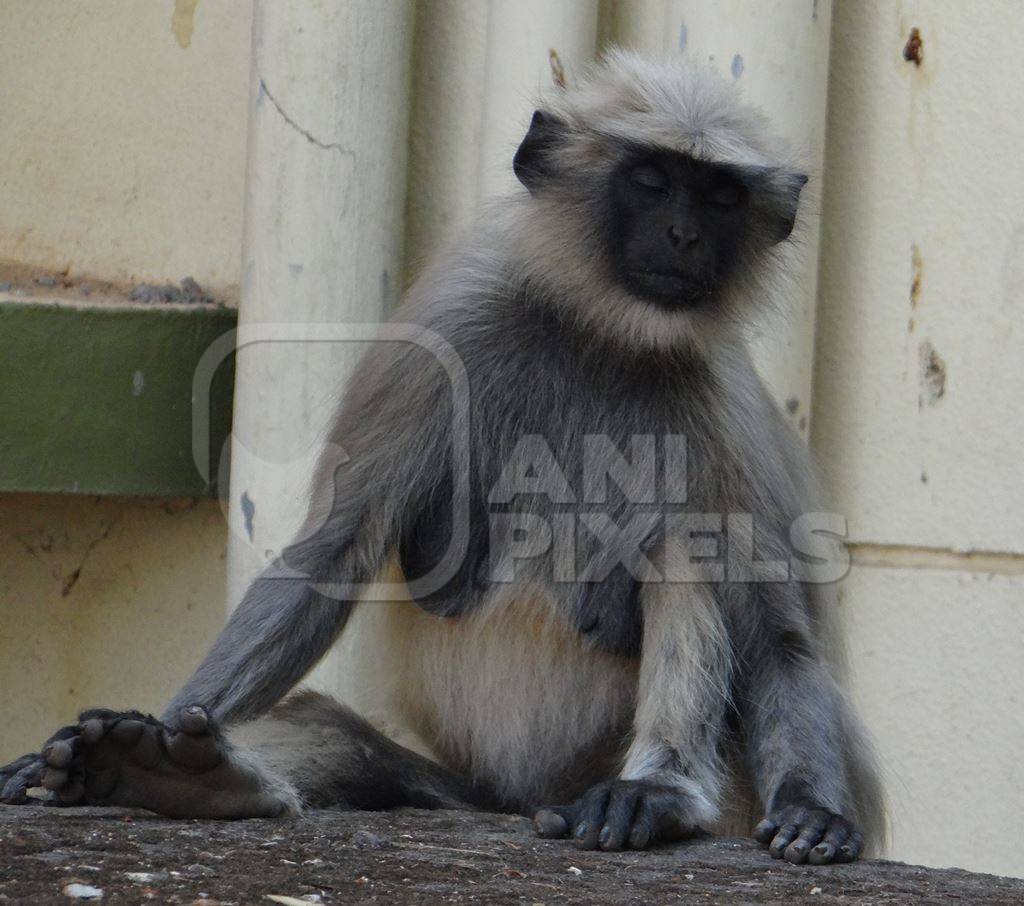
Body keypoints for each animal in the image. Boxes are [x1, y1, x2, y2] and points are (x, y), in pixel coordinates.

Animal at [2, 51, 880, 868]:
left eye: (721, 198)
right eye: (652, 181)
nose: (685, 235)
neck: (603, 335)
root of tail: (523, 799)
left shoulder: (725, 411)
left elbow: (779, 640)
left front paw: (810, 807)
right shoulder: (446, 329)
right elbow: (331, 553)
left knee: (683, 548)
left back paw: (657, 795)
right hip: (463, 788)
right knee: (335, 736)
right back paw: (183, 777)